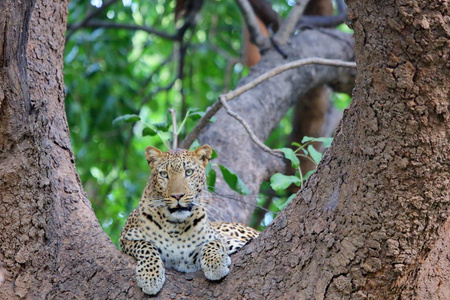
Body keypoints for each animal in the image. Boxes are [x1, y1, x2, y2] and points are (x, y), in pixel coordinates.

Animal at [120, 145, 260, 296]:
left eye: (189, 172)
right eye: (164, 174)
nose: (177, 196)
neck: (174, 227)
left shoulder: (229, 241)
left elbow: (213, 242)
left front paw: (216, 263)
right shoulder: (125, 238)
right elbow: (146, 246)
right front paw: (149, 277)